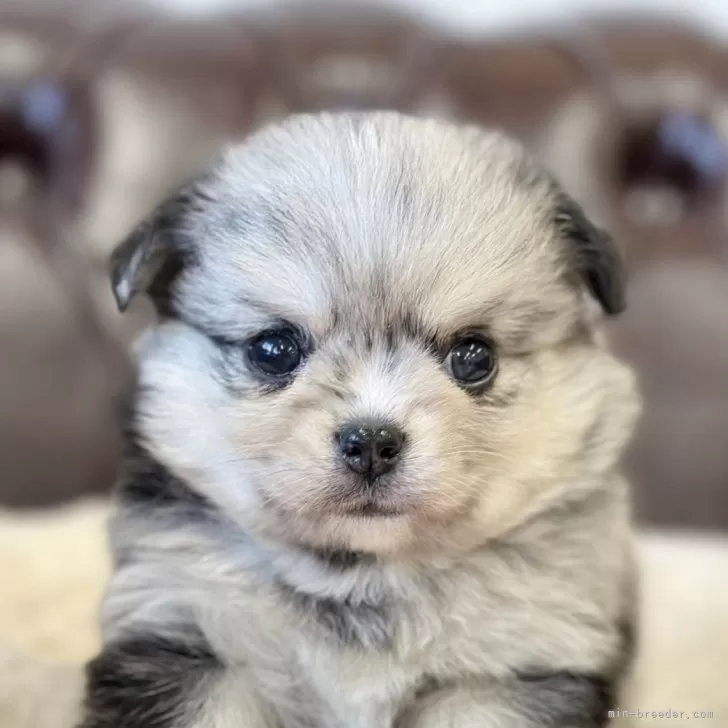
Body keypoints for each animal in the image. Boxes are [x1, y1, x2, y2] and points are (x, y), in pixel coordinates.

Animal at [82, 111, 644, 724]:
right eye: (273, 349)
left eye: (475, 358)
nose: (372, 442)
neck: (362, 580)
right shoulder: (188, 634)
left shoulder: (505, 672)